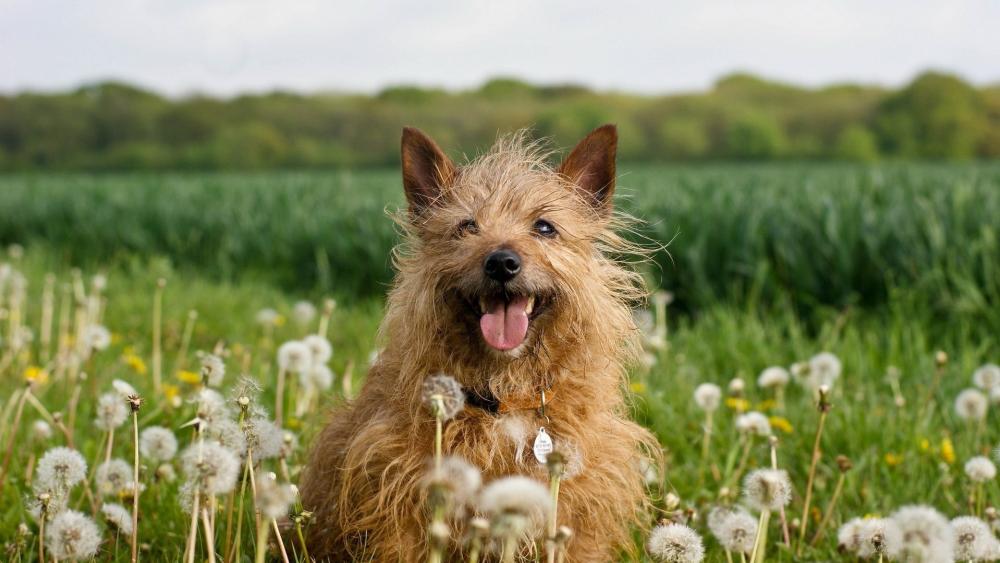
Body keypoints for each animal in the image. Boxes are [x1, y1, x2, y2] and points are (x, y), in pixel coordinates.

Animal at [300, 125, 660, 560]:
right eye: (466, 226)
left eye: (544, 227)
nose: (501, 262)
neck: (506, 395)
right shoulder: (400, 509)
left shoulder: (579, 518)